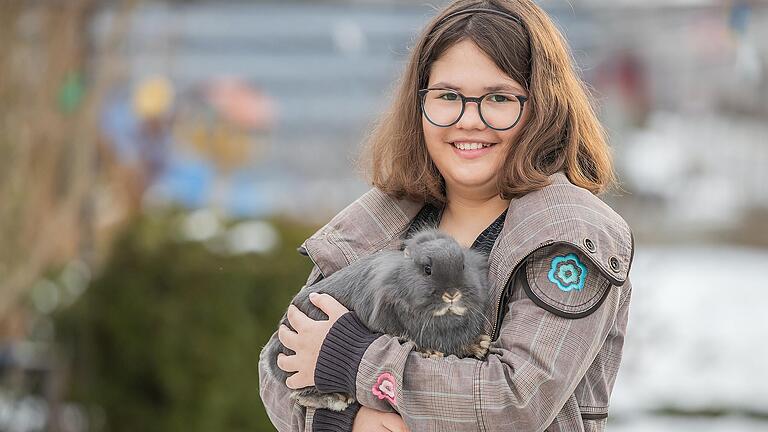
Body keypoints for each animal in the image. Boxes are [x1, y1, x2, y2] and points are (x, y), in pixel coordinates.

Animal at [262, 228, 492, 410]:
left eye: (463, 266)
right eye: (427, 269)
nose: (452, 294)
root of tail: (271, 362)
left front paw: (479, 344)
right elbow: (409, 339)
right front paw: (431, 351)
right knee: (299, 393)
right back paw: (338, 398)